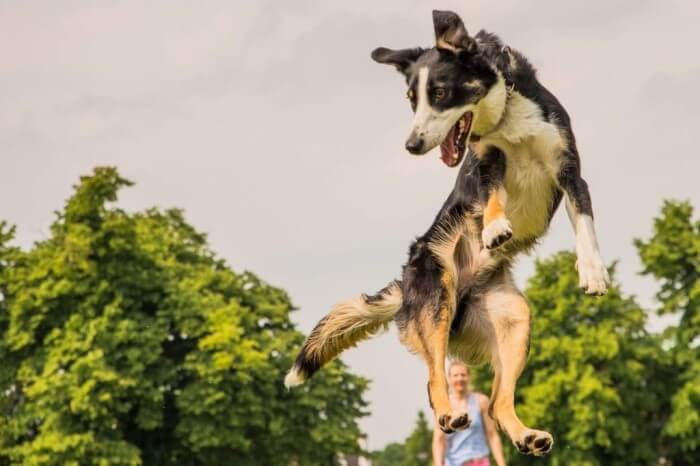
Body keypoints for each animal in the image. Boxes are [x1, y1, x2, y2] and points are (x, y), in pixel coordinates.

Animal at [284, 9, 608, 456]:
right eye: (410, 100)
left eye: (439, 92)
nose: (411, 144)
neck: (505, 116)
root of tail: (405, 287)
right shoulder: (487, 162)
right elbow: (492, 197)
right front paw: (495, 227)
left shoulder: (569, 170)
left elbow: (586, 224)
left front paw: (593, 272)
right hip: (435, 301)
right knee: (434, 378)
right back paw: (448, 415)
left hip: (514, 320)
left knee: (497, 404)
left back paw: (526, 436)